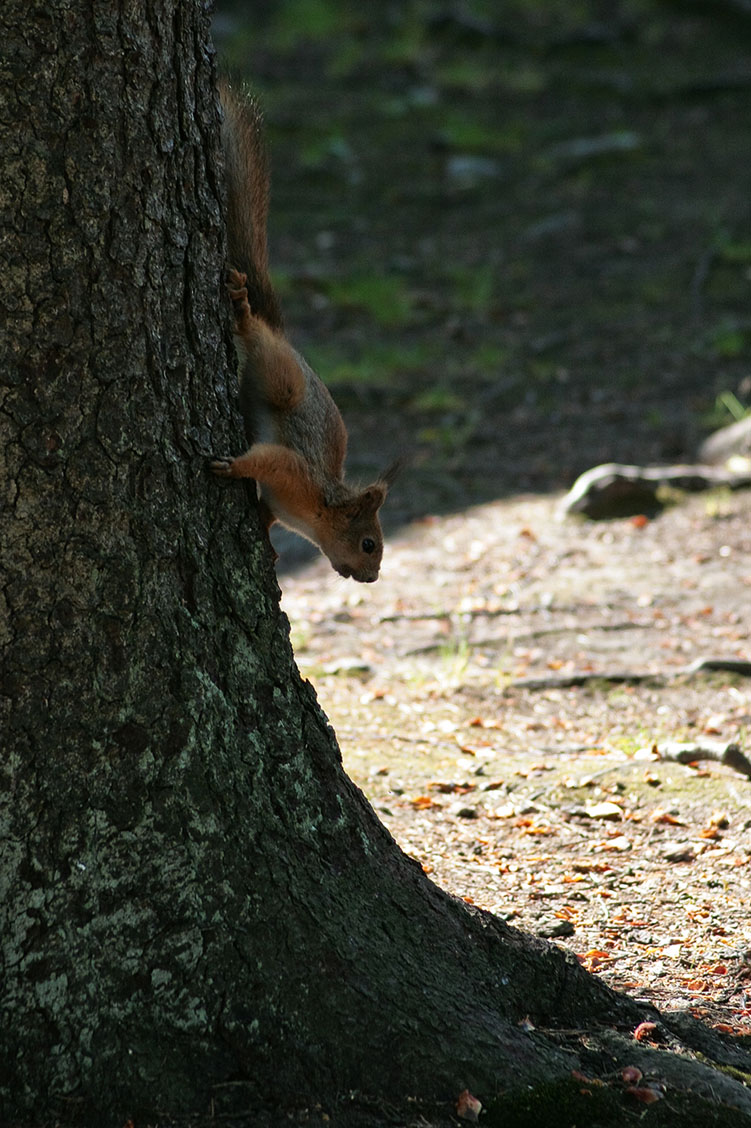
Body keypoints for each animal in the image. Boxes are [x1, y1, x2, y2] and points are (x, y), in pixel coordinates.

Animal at [210, 81, 396, 582]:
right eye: (370, 543)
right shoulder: (294, 471)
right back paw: (242, 311)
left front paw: (269, 548)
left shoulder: (281, 500)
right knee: (255, 337)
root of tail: (286, 341)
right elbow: (265, 460)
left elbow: (266, 515)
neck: (316, 510)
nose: (371, 577)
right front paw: (232, 466)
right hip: (283, 377)